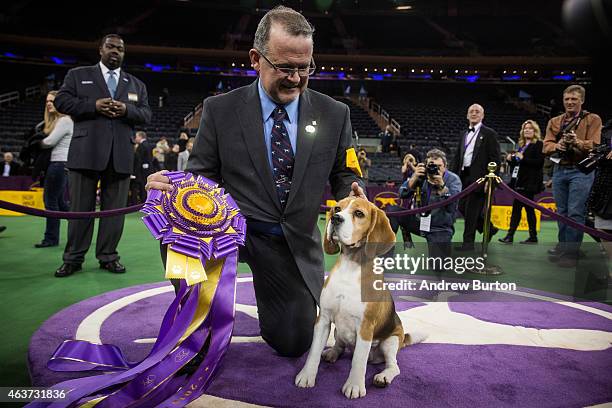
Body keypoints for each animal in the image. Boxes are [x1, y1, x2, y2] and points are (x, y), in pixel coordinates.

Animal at [296, 198, 420, 398]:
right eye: (337, 208)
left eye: (359, 213)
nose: (335, 219)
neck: (350, 265)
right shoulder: (323, 319)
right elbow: (313, 352)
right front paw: (307, 376)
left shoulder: (365, 327)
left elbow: (358, 361)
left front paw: (354, 385)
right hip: (338, 331)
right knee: (340, 345)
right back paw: (332, 353)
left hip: (391, 341)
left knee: (393, 366)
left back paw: (383, 376)